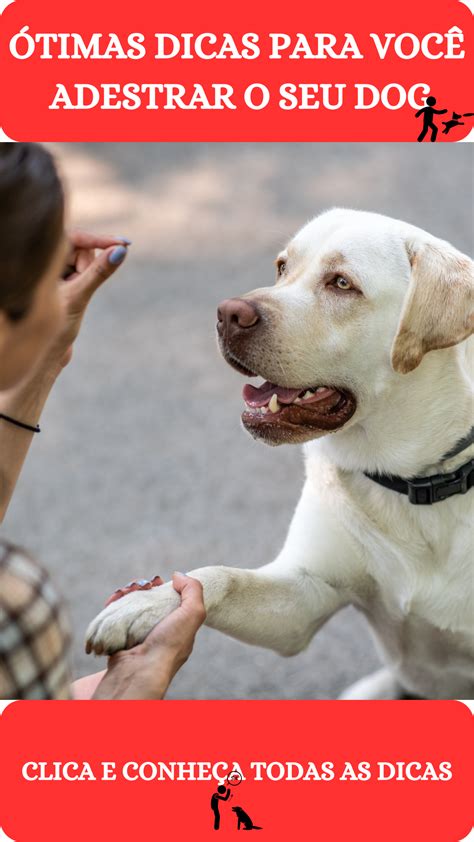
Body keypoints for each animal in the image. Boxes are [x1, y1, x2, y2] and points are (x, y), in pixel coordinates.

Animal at [86, 208, 474, 696]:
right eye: (282, 267)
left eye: (342, 283)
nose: (227, 314)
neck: (416, 483)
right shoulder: (303, 598)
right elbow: (219, 577)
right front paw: (146, 605)